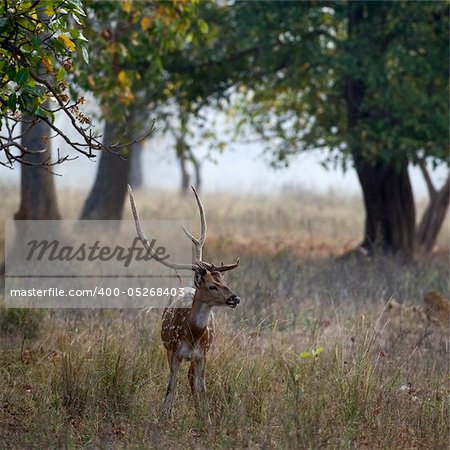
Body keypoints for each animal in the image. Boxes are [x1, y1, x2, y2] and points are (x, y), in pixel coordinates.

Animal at [127, 183, 239, 418]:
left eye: (224, 281)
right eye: (212, 286)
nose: (235, 298)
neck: (192, 334)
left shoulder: (203, 353)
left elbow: (202, 387)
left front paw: (206, 419)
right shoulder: (173, 351)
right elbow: (171, 386)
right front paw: (164, 417)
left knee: (191, 379)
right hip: (167, 347)